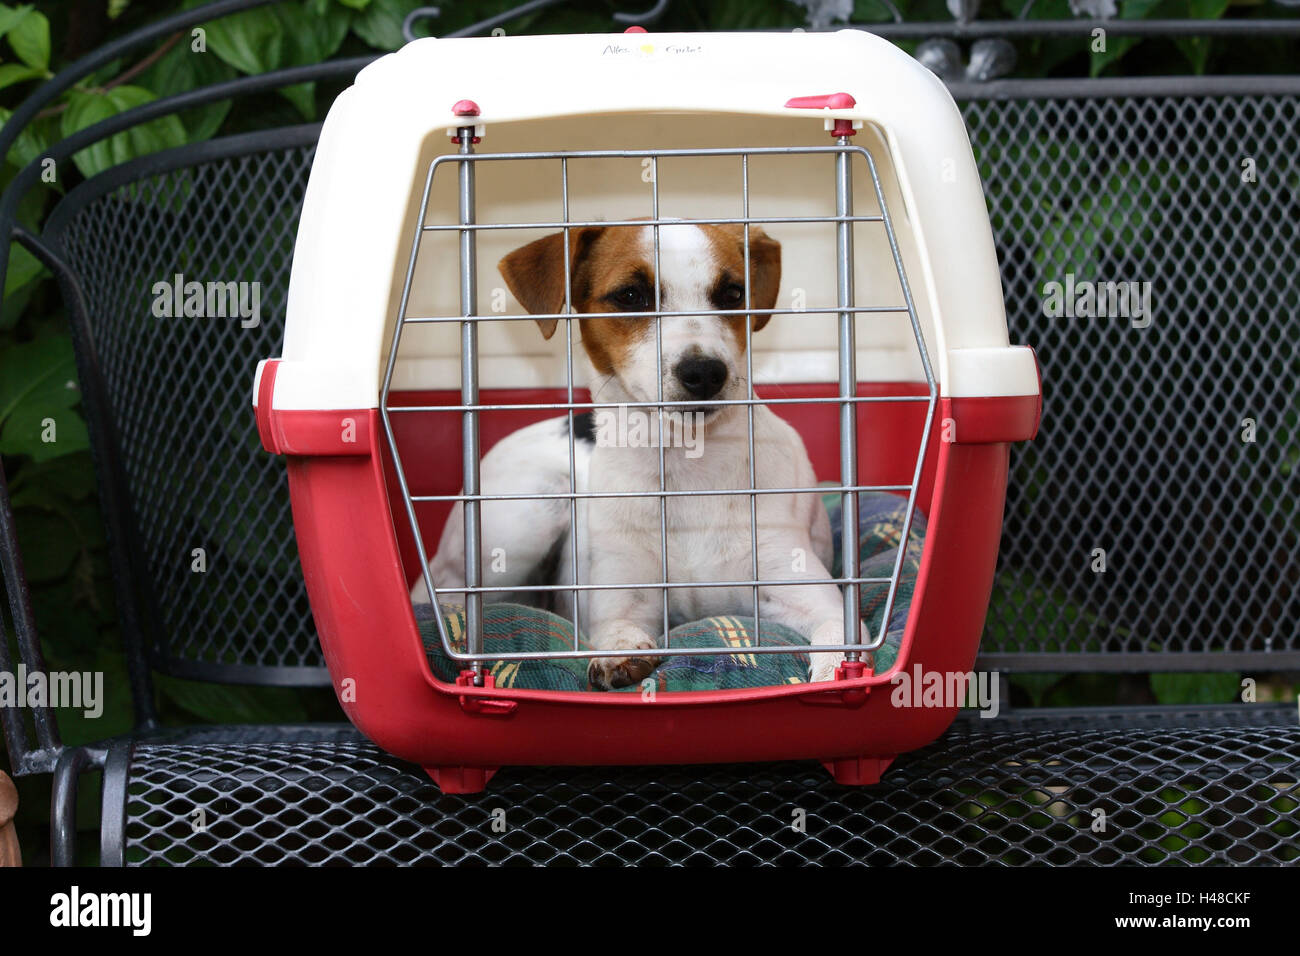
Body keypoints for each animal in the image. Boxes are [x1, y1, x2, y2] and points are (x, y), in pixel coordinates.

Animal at [416, 221, 863, 686]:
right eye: (630, 295)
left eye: (733, 293)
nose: (705, 372)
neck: (684, 466)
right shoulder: (624, 594)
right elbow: (617, 627)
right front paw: (620, 651)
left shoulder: (809, 594)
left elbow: (837, 634)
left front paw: (839, 673)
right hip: (528, 515)